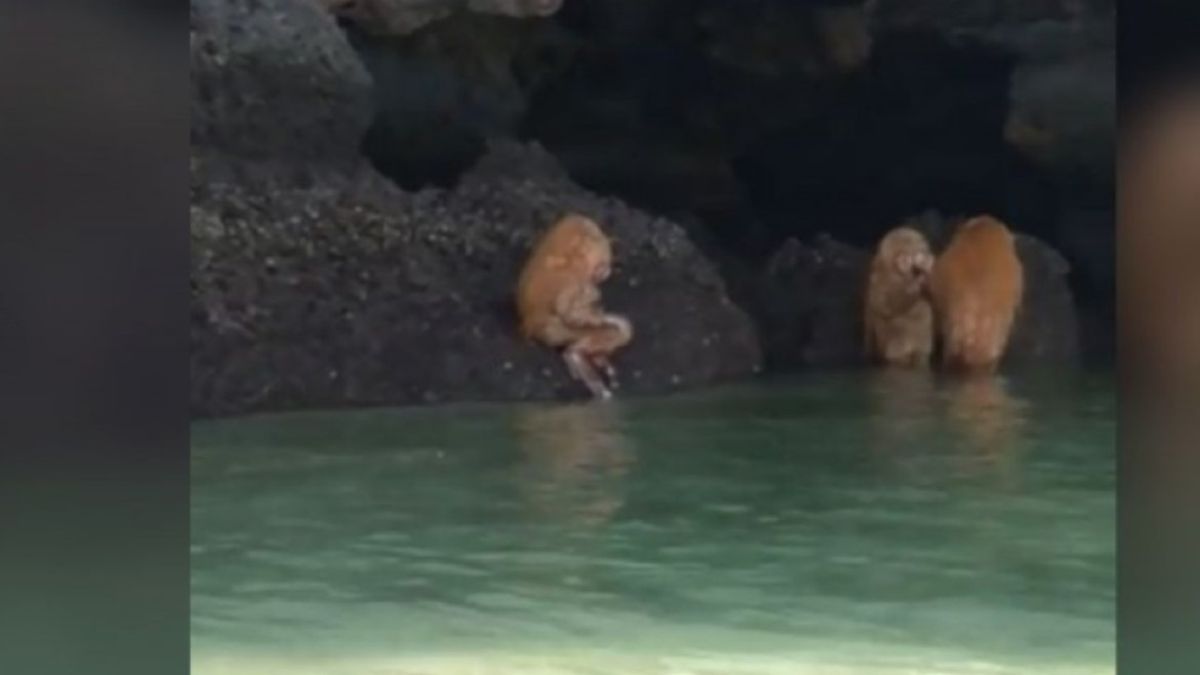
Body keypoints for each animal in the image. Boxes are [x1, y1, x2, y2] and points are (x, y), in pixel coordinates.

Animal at [513, 212, 633, 396]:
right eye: (601, 266)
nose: (604, 271)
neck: (570, 258)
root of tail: (528, 328)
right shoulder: (574, 284)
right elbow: (569, 312)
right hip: (558, 333)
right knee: (612, 333)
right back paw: (579, 359)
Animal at [864, 225, 936, 365]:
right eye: (904, 260)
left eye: (917, 255)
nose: (913, 267)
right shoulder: (879, 280)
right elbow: (885, 304)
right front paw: (915, 284)